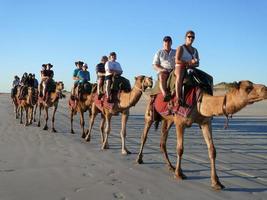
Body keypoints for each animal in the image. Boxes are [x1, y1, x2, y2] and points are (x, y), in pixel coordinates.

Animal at [136, 80, 267, 190]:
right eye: (248, 88)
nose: (265, 89)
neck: (200, 104)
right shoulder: (180, 122)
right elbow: (180, 149)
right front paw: (179, 174)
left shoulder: (206, 123)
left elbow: (212, 150)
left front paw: (216, 182)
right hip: (150, 114)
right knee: (144, 136)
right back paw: (139, 159)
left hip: (168, 120)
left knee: (162, 141)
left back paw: (170, 166)